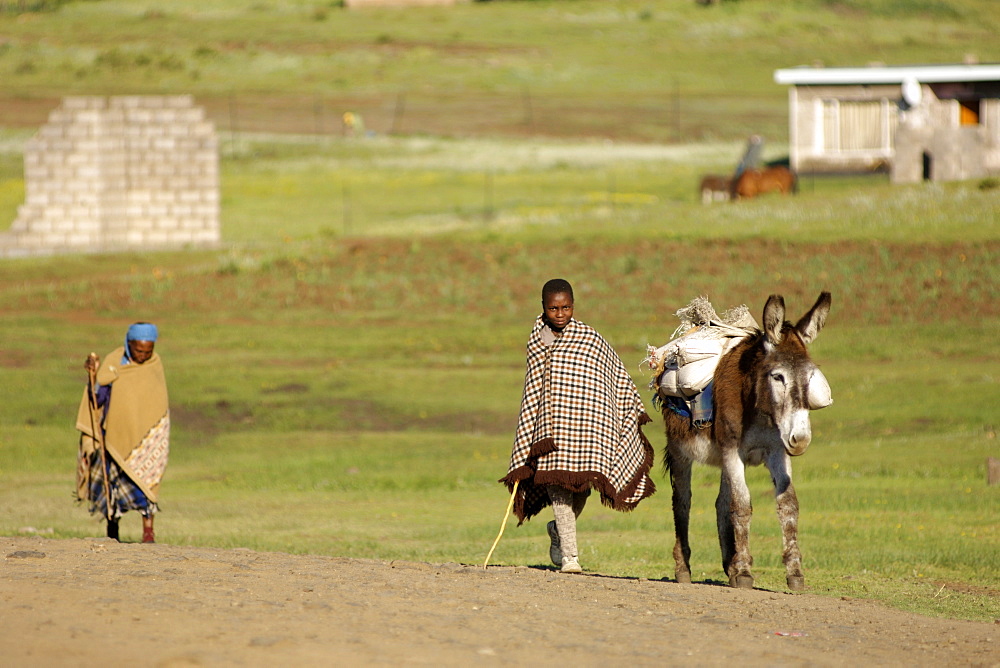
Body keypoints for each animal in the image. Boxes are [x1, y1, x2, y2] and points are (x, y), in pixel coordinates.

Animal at [664, 292, 828, 588]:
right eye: (778, 376)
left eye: (810, 377)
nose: (800, 440)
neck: (759, 408)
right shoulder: (732, 450)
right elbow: (741, 506)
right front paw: (743, 572)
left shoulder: (776, 451)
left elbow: (788, 505)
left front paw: (794, 573)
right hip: (681, 450)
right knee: (682, 501)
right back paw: (684, 569)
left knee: (721, 503)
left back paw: (728, 565)